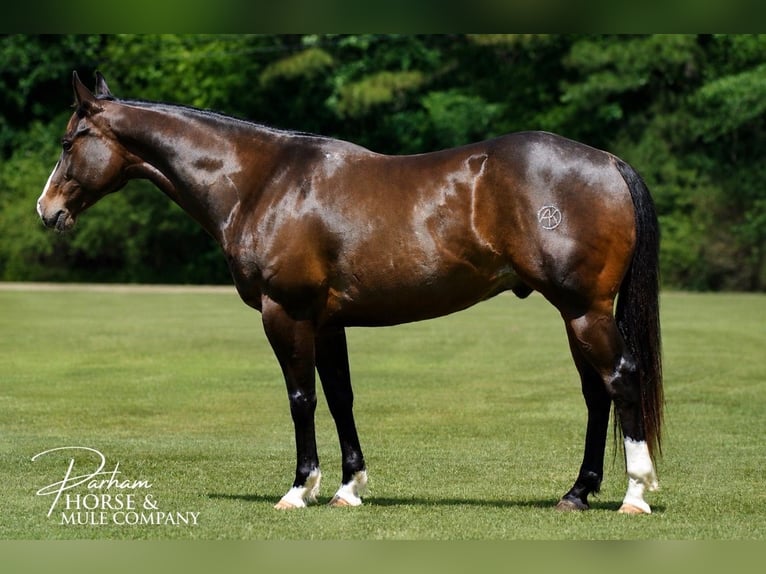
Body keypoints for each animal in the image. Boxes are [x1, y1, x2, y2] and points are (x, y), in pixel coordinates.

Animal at [37, 71, 663, 514]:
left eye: (70, 141)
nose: (48, 211)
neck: (263, 182)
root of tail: (608, 161)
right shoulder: (327, 320)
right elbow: (341, 397)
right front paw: (348, 487)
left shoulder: (285, 312)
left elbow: (301, 398)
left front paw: (299, 489)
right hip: (577, 313)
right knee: (596, 393)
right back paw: (577, 493)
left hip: (583, 310)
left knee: (621, 378)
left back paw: (635, 493)